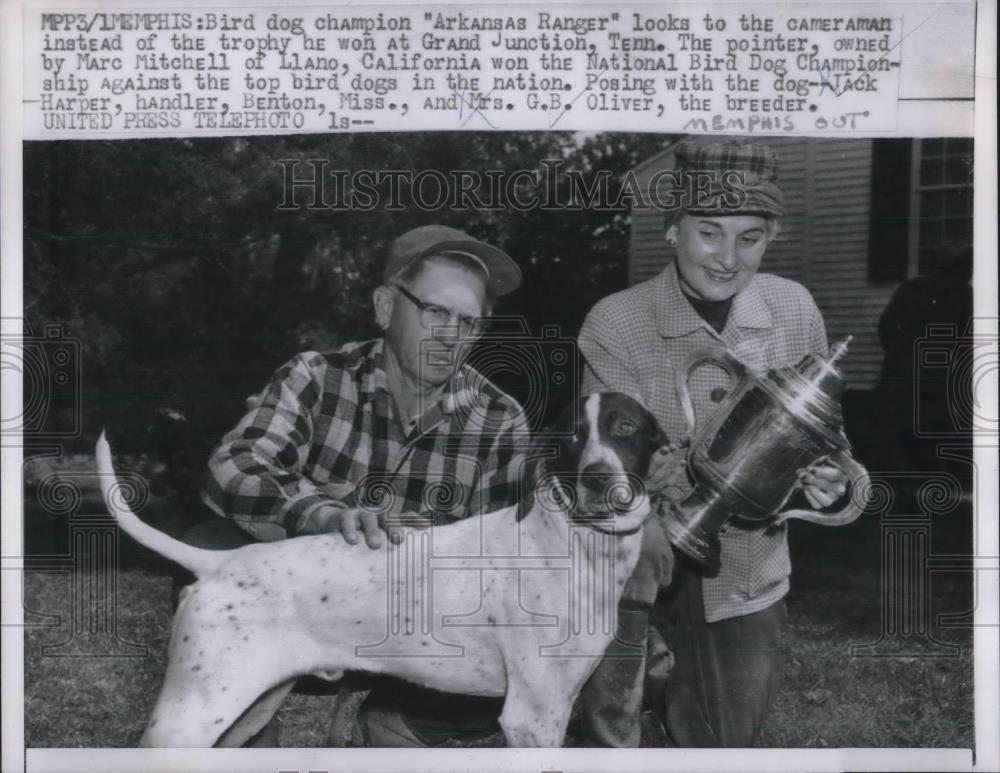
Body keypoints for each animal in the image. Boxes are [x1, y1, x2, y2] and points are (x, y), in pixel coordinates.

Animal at [97, 396, 668, 744]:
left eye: (626, 428)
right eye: (570, 438)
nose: (597, 479)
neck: (572, 544)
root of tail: (222, 563)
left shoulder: (559, 705)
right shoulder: (530, 716)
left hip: (251, 705)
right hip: (190, 713)